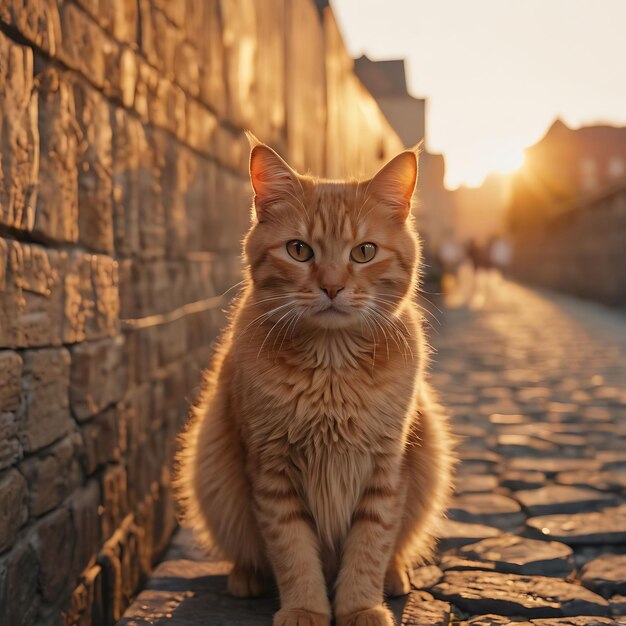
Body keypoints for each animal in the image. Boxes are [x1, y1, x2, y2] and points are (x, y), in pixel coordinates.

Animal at [176, 140, 454, 624]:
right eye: (299, 250)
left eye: (364, 252)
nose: (332, 287)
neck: (332, 370)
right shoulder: (271, 469)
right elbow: (293, 551)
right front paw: (305, 608)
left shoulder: (386, 467)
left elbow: (370, 545)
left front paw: (361, 606)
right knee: (246, 550)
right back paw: (245, 577)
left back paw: (394, 576)